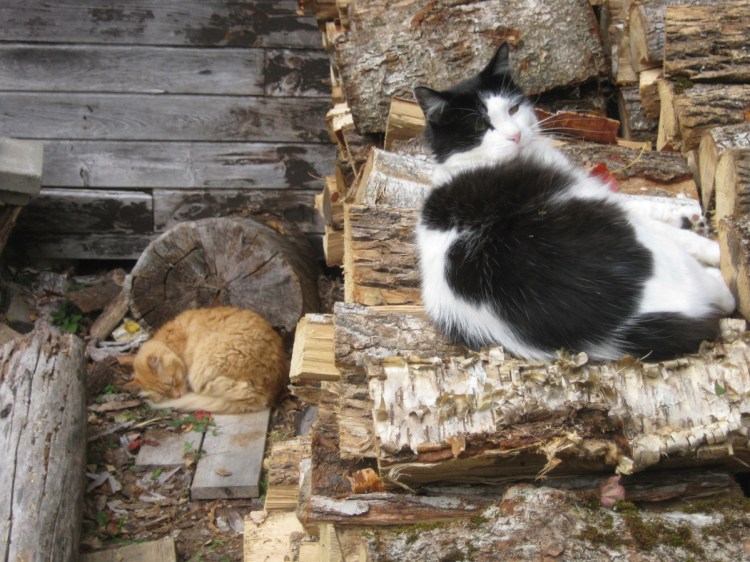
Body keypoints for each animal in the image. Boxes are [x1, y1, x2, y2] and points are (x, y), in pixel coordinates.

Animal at [412, 42, 736, 358]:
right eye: (480, 126)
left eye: (513, 109)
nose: (516, 135)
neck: (465, 163)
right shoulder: (588, 189)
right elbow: (642, 207)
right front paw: (703, 237)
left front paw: (689, 216)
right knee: (723, 296)